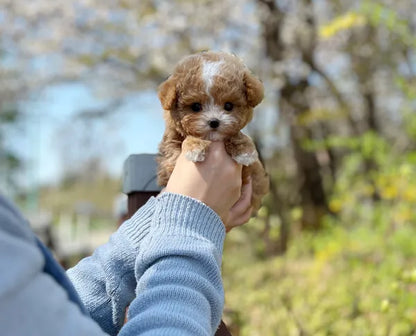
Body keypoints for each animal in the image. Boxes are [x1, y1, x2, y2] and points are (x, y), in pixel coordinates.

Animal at [157, 50, 270, 213]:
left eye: (228, 106)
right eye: (196, 106)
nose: (214, 122)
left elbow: (238, 136)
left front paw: (245, 151)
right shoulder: (170, 157)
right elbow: (184, 142)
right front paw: (195, 147)